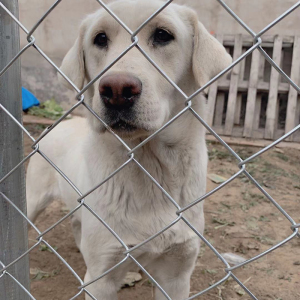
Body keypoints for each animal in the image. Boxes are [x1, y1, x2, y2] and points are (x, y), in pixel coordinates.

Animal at [26, 1, 232, 298]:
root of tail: (59, 124)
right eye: (100, 39)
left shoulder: (177, 275)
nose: (116, 90)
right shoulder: (101, 279)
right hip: (33, 200)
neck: (149, 167)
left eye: (163, 35)